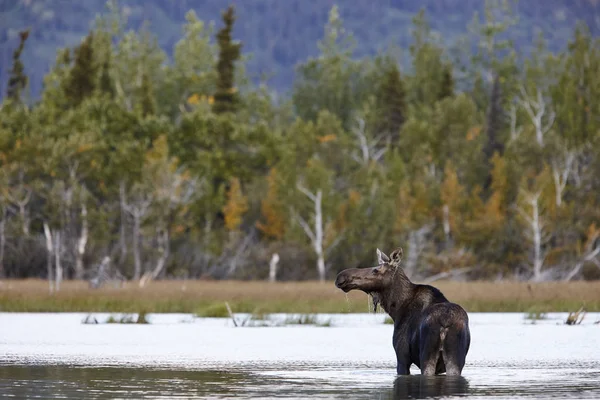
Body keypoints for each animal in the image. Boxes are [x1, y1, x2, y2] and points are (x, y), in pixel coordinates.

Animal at [336, 247, 472, 376]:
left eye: (375, 270)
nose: (341, 277)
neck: (396, 309)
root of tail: (445, 322)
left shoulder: (402, 356)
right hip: (456, 359)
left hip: (427, 356)